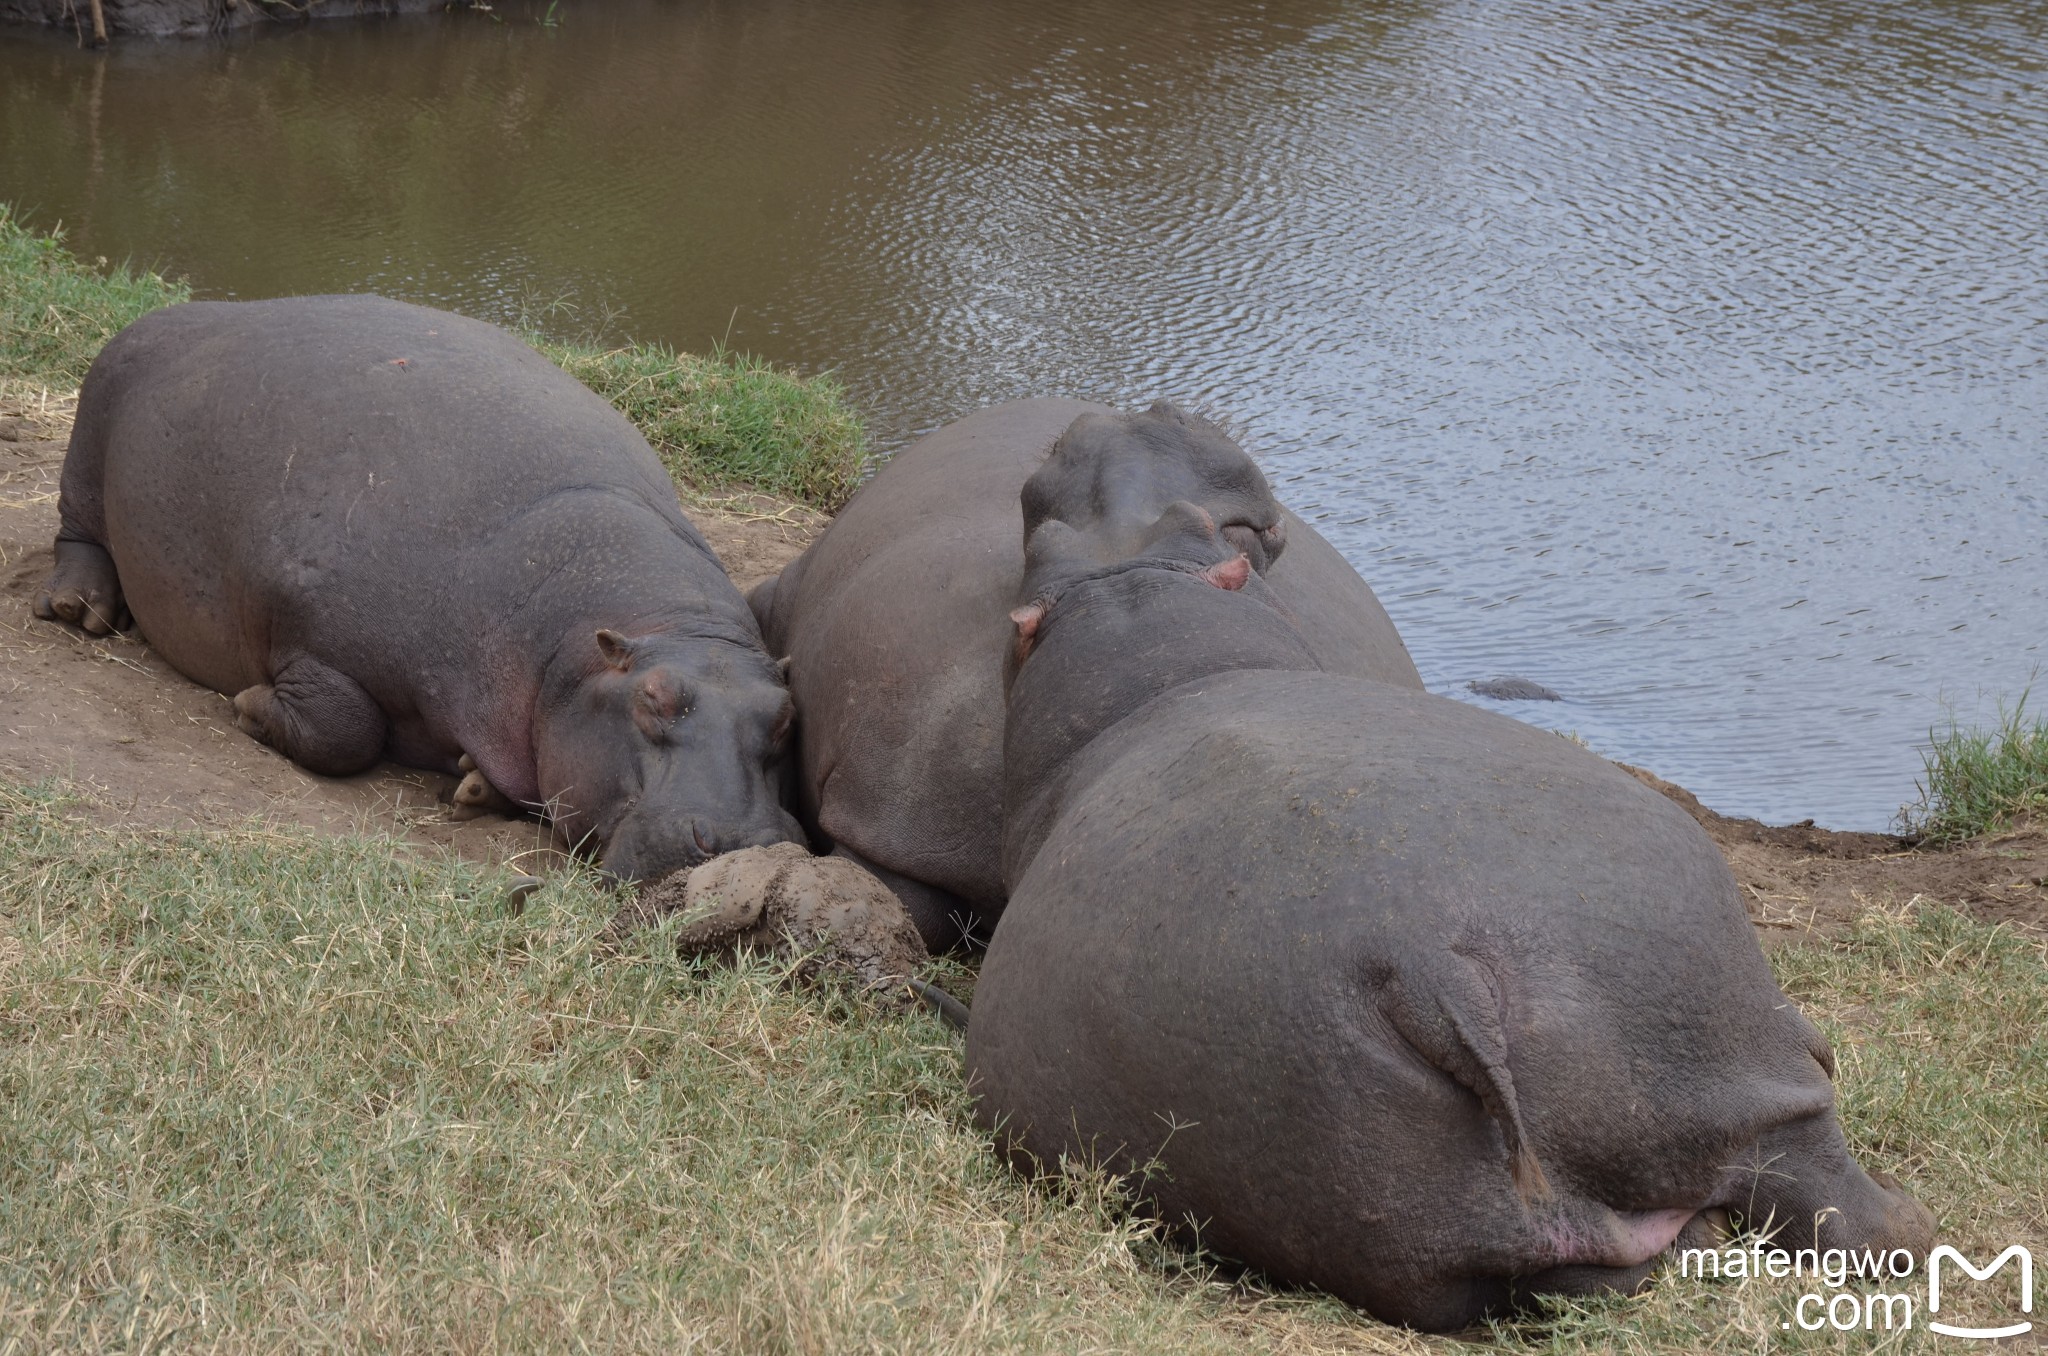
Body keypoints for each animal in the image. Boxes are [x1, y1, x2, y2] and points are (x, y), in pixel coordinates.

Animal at [36, 297, 798, 880]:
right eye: (652, 698)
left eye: (786, 719)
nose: (740, 844)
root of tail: (178, 313)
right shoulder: (313, 628)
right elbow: (346, 727)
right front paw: (251, 705)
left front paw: (471, 782)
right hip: (90, 437)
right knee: (77, 533)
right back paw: (80, 610)